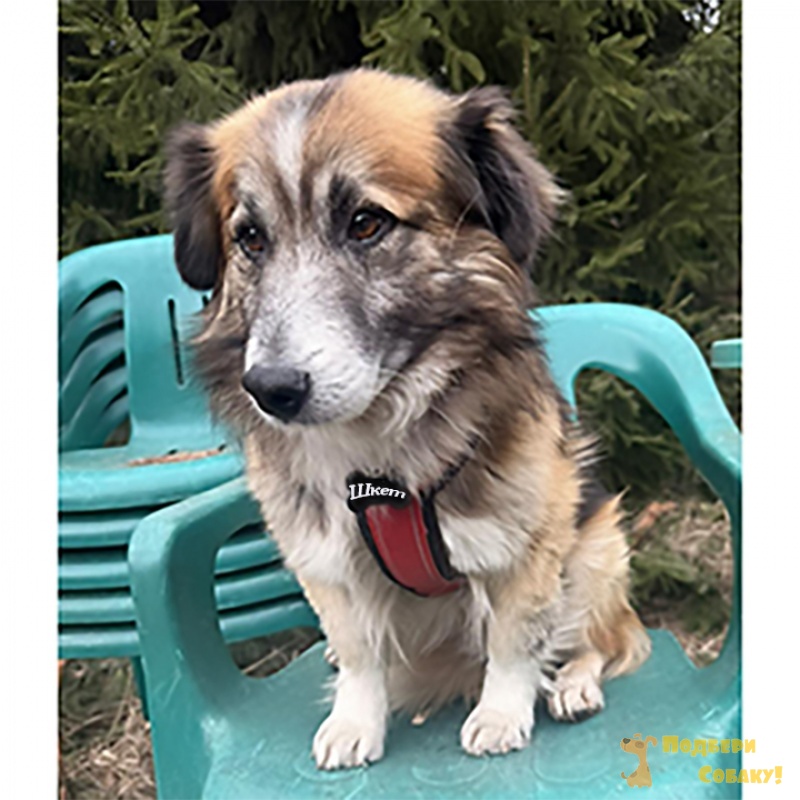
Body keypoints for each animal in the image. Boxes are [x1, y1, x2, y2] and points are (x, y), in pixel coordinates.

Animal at [164, 68, 650, 769]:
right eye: (250, 238)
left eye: (366, 223)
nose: (273, 389)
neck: (378, 452)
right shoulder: (324, 557)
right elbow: (359, 651)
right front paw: (354, 721)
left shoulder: (529, 541)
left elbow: (516, 640)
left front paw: (501, 714)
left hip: (596, 552)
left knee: (607, 639)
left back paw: (573, 684)